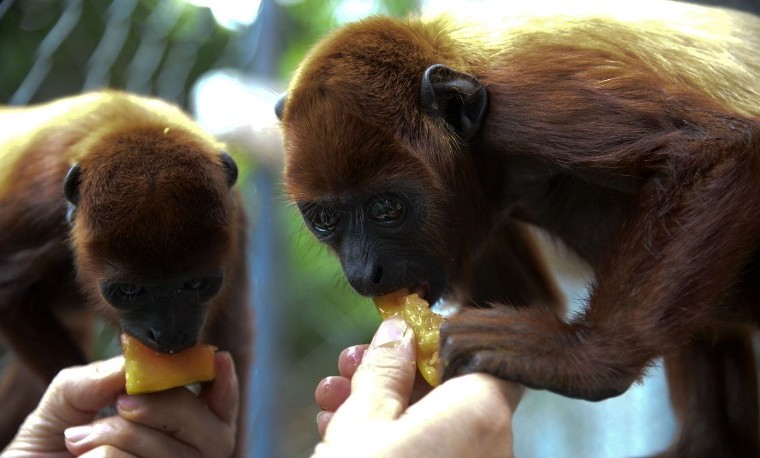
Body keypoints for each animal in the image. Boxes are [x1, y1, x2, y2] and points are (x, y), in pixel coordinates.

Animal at [0, 90, 251, 454]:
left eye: (196, 284)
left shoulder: (236, 224)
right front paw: (102, 409)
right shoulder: (35, 212)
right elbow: (7, 294)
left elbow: (234, 342)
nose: (169, 334)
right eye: (130, 291)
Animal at [280, 1, 760, 456]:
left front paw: (580, 357)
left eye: (386, 209)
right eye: (326, 220)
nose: (364, 273)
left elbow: (710, 148)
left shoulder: (524, 101)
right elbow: (522, 294)